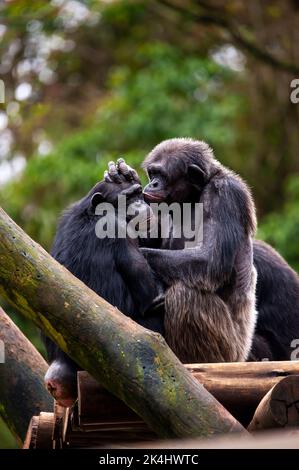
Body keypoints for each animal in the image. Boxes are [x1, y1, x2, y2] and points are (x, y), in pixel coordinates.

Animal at [44, 174, 165, 406]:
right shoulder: (119, 229)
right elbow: (152, 299)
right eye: (127, 198)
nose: (140, 204)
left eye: (138, 193)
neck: (91, 214)